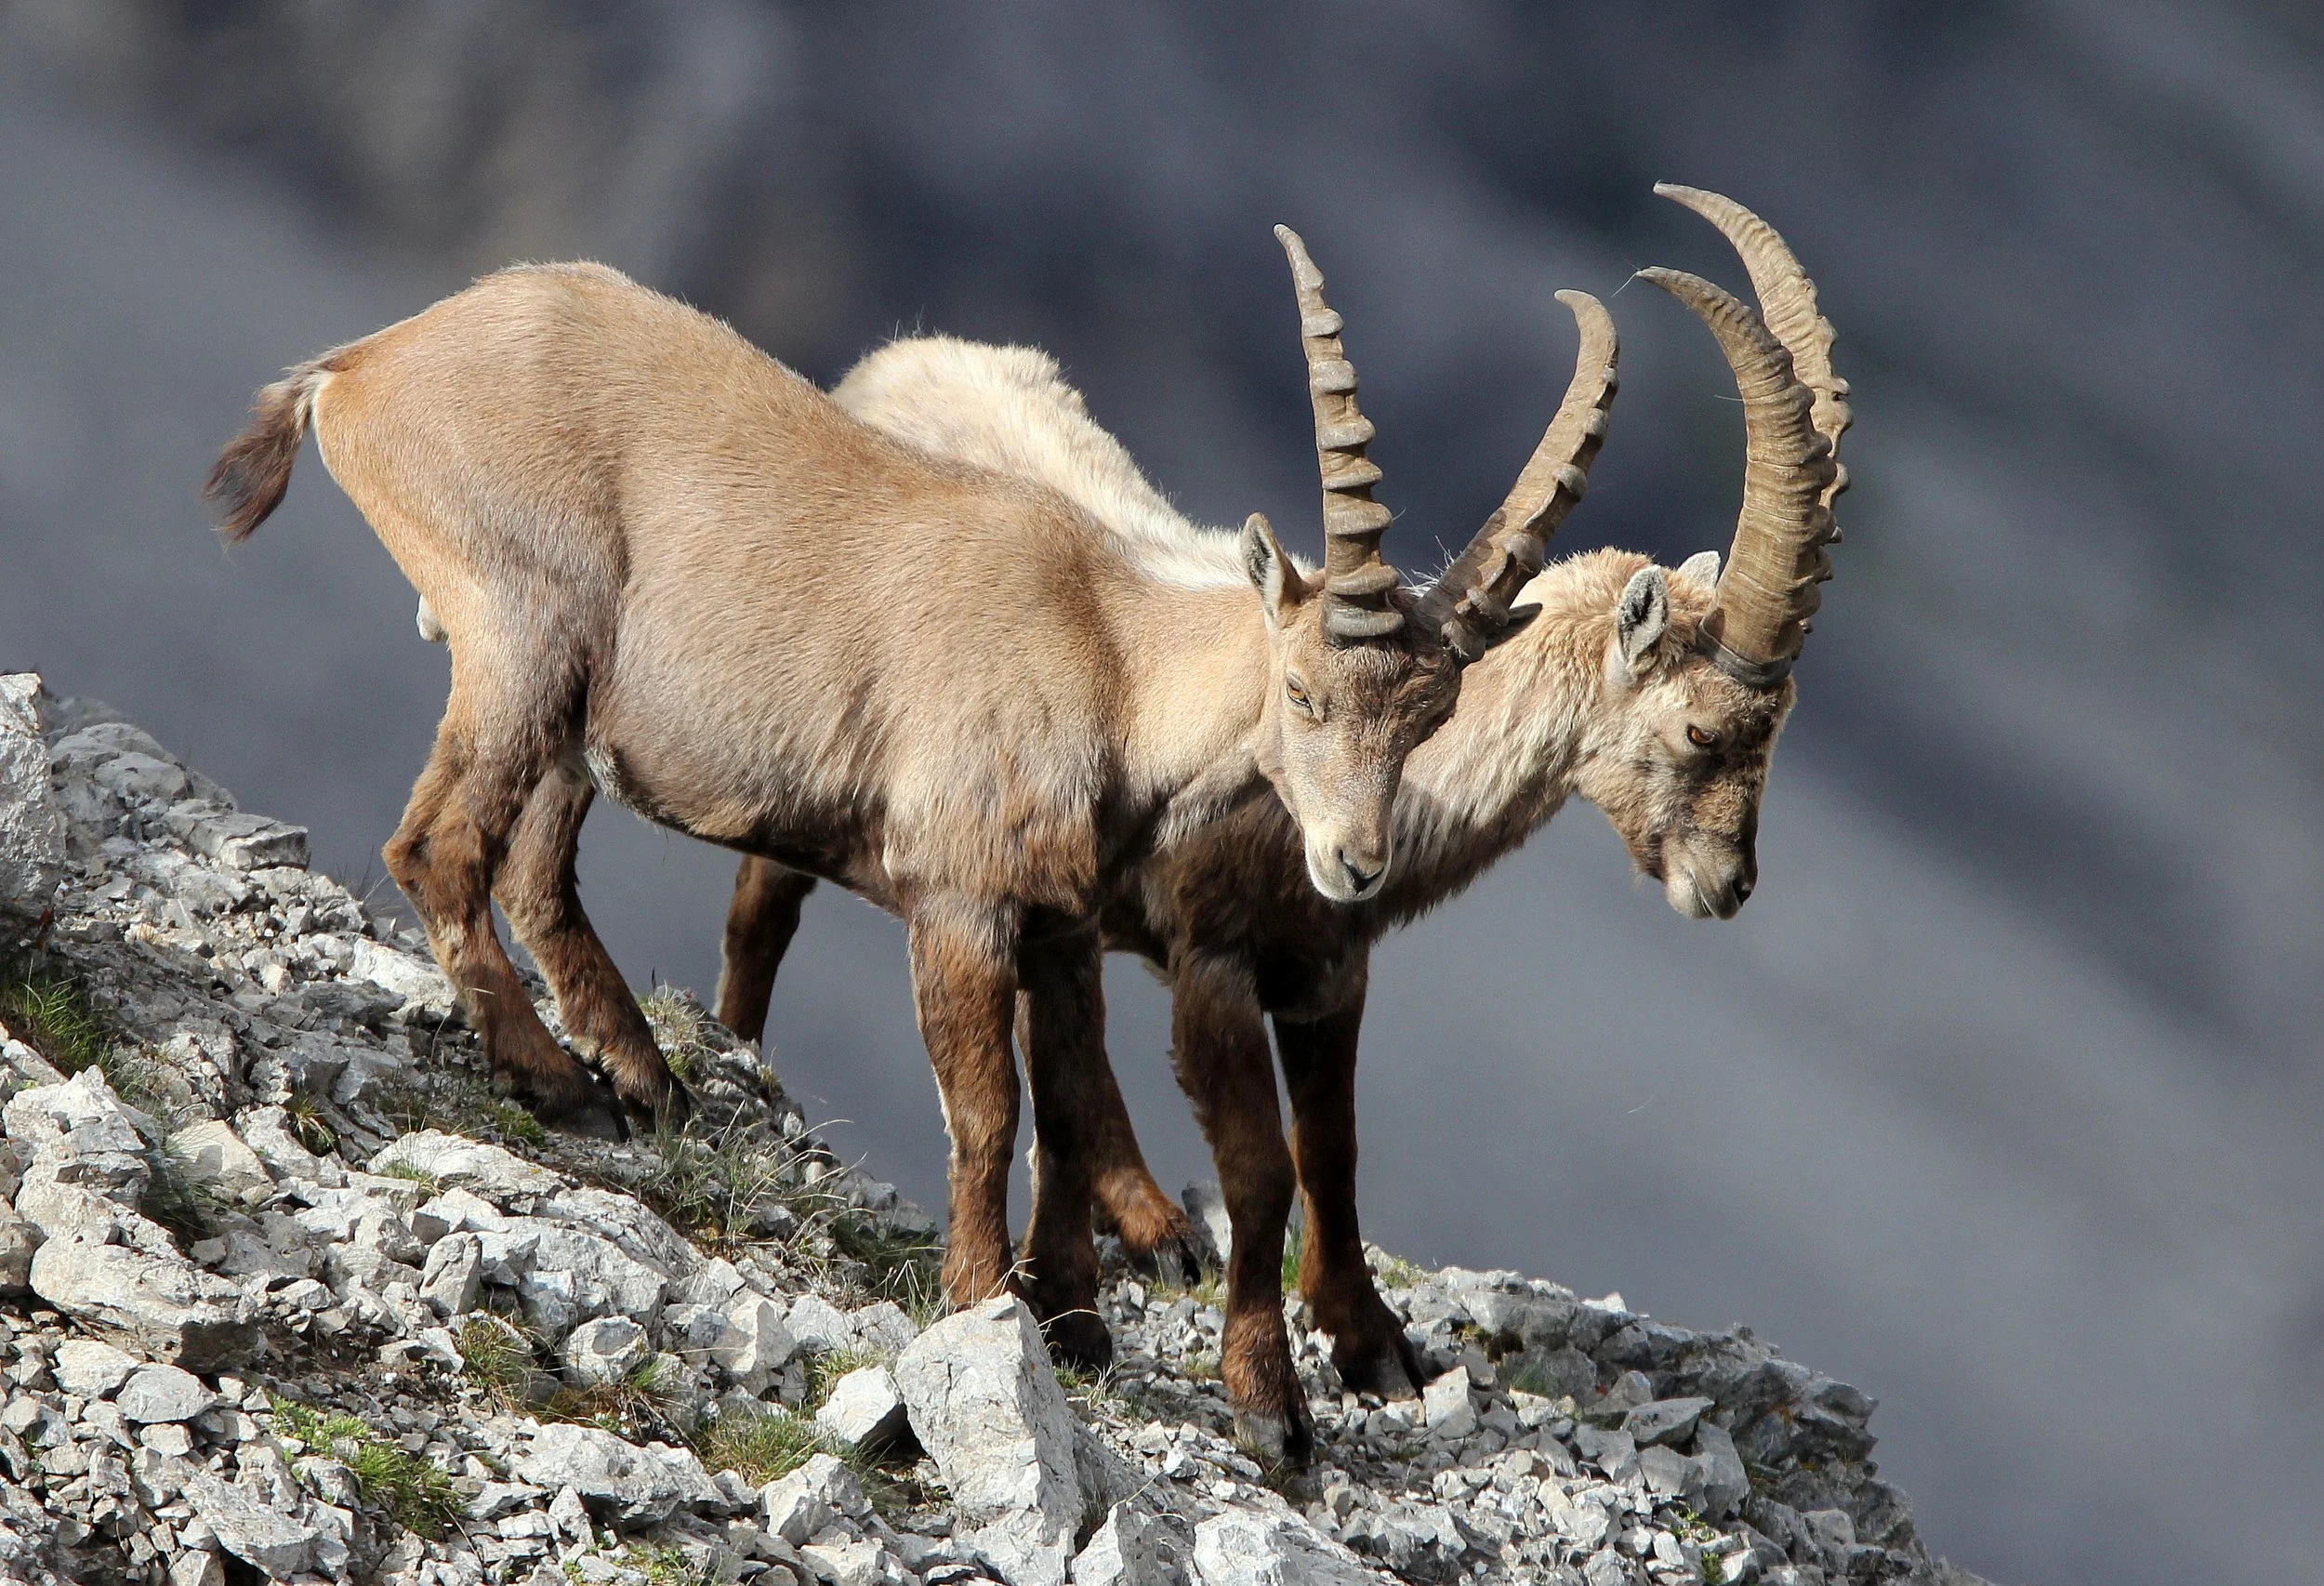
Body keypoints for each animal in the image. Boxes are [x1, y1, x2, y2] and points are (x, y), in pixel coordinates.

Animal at [203, 232, 1549, 1314]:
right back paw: (557, 1081)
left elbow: (1068, 1102)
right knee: (439, 844)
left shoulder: (1057, 921)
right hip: (527, 627)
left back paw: (644, 1077)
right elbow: (988, 1113)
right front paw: (980, 1298)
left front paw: (1071, 1307)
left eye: (1431, 715)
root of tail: (365, 366)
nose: (1356, 865)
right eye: (1305, 690)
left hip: (575, 705)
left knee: (533, 868)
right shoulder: (957, 901)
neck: (1109, 654)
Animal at [716, 187, 1850, 1457]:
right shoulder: (1212, 963)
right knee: (772, 904)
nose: (1728, 884)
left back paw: (1141, 1218)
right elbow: (1262, 1170)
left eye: (1776, 728)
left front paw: (1370, 1341)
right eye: (1704, 728)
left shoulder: (1325, 973)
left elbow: (1333, 1151)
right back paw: (744, 1056)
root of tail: (894, 359)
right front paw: (1268, 1394)